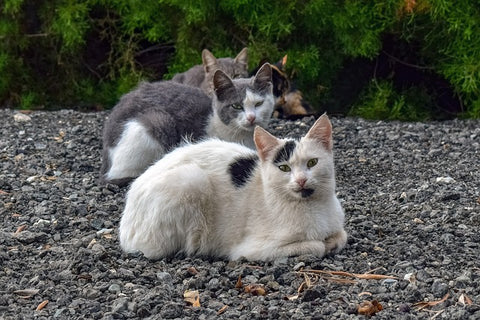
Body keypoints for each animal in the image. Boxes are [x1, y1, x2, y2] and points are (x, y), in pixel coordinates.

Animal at [118, 114, 346, 262]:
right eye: (284, 168)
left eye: (312, 163)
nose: (301, 180)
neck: (313, 207)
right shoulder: (253, 249)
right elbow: (315, 245)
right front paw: (323, 244)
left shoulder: (338, 226)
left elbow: (341, 236)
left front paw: (332, 240)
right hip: (190, 180)